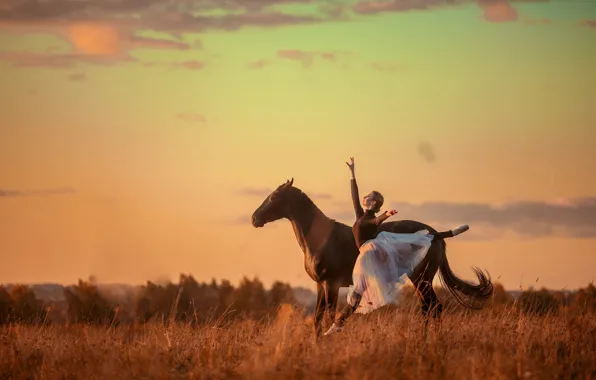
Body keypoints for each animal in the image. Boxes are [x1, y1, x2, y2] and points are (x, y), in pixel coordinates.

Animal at [251, 178, 494, 336]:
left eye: (274, 197)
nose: (254, 218)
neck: (321, 239)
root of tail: (435, 234)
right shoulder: (320, 285)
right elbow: (318, 319)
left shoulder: (331, 284)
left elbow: (329, 316)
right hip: (421, 280)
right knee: (430, 308)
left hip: (422, 279)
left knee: (432, 308)